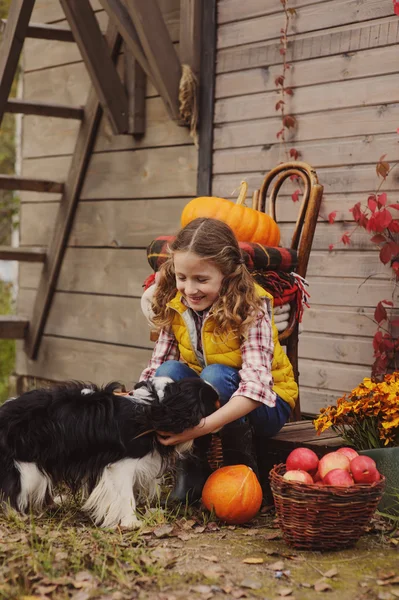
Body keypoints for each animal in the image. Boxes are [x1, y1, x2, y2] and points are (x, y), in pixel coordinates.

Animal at [0, 378, 219, 528]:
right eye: (215, 404)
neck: (154, 407)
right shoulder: (121, 465)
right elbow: (126, 495)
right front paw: (131, 522)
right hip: (25, 467)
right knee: (13, 491)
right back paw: (18, 515)